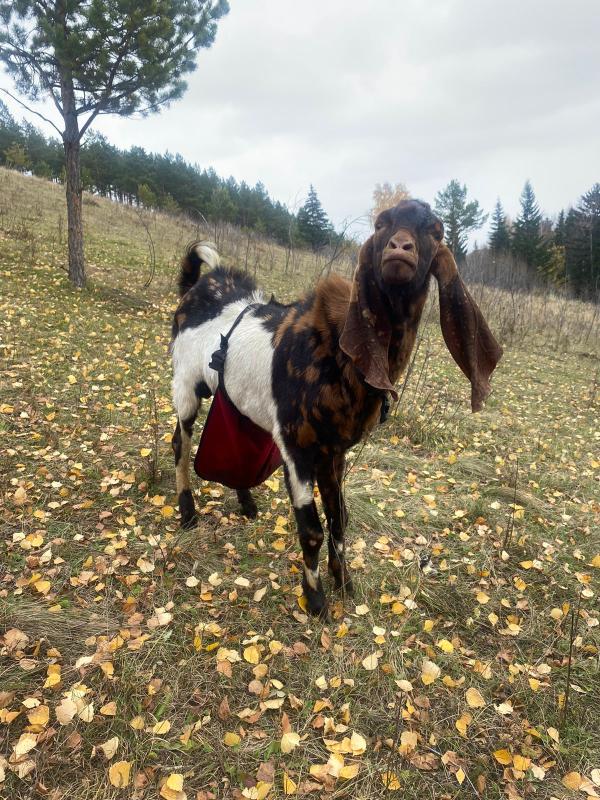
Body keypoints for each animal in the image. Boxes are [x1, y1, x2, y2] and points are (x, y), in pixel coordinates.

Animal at [170, 200, 502, 620]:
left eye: (436, 230)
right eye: (381, 223)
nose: (400, 248)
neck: (336, 353)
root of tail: (199, 287)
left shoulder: (335, 450)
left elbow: (340, 519)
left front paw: (344, 583)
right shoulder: (296, 448)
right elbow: (311, 529)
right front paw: (315, 600)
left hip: (236, 401)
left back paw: (246, 503)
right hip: (185, 384)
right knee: (181, 445)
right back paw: (188, 512)